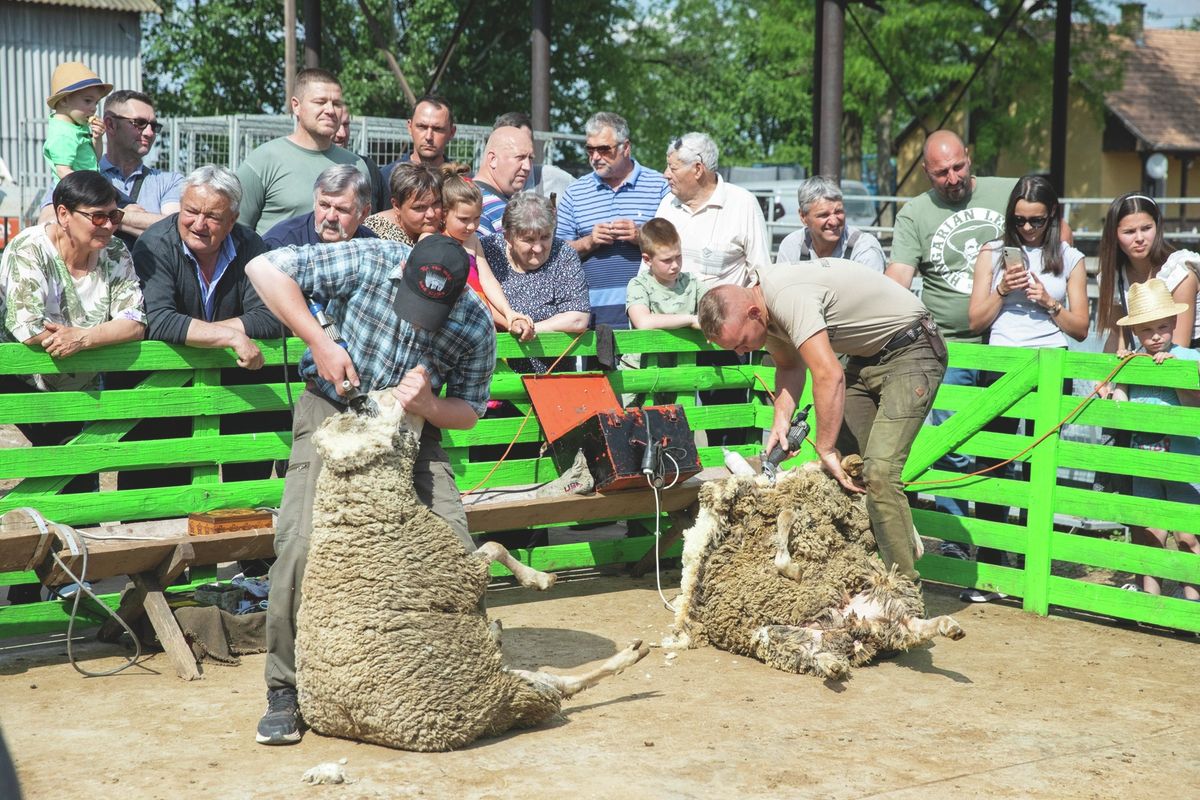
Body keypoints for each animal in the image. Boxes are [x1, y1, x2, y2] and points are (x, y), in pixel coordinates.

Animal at [294, 391, 648, 753]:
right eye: (374, 408)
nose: (359, 395)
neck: (359, 515)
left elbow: (495, 547)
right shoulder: (458, 573)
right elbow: (496, 546)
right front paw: (537, 579)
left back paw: (498, 632)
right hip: (518, 690)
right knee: (567, 685)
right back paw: (629, 656)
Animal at [672, 462, 960, 681]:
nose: (918, 549)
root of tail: (855, 624)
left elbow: (784, 527)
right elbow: (785, 524)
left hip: (885, 596)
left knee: (914, 628)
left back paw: (949, 627)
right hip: (780, 637)